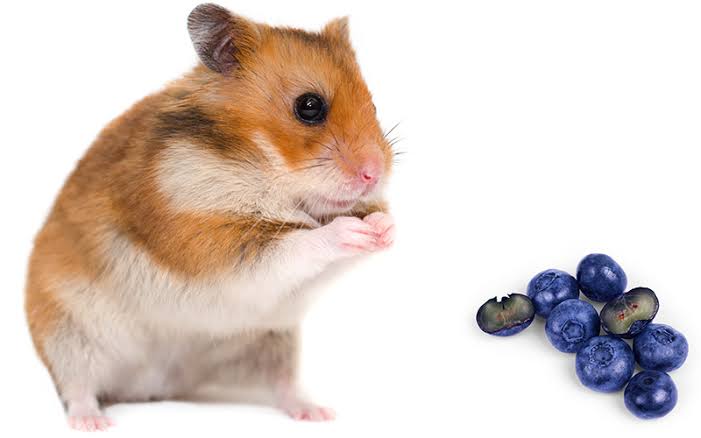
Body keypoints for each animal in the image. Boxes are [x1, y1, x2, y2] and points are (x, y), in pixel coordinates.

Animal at [25, 3, 395, 431]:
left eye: (374, 106)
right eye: (309, 106)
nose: (374, 174)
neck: (263, 170)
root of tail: (149, 388)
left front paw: (385, 229)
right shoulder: (208, 245)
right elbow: (296, 243)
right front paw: (351, 229)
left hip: (270, 343)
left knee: (282, 384)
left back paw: (315, 413)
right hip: (68, 336)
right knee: (78, 389)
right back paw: (94, 422)